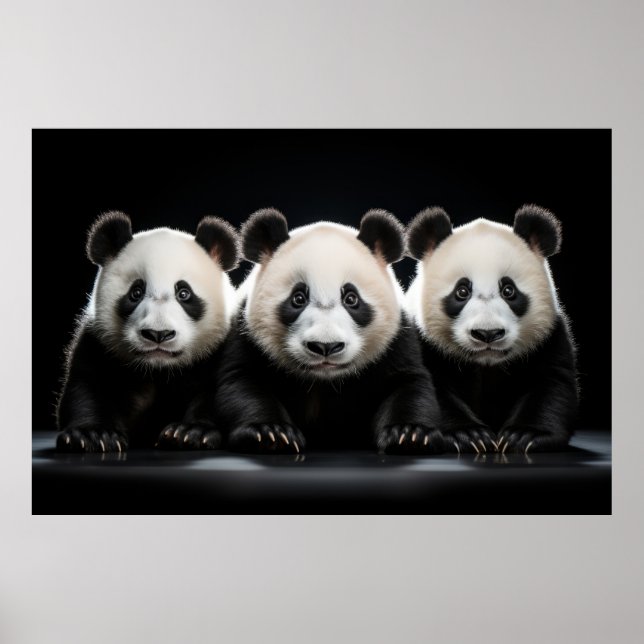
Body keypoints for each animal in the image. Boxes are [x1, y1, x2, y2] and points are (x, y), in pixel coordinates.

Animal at [56, 211, 239, 453]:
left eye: (184, 293)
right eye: (136, 292)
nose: (158, 334)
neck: (157, 370)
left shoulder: (219, 348)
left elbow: (219, 392)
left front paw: (191, 433)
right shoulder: (97, 342)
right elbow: (86, 387)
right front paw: (93, 435)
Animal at [214, 208, 441, 454]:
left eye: (351, 298)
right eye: (298, 298)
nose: (325, 346)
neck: (323, 381)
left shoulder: (396, 339)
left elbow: (408, 385)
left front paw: (410, 434)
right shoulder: (248, 336)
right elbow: (241, 384)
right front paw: (270, 433)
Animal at [405, 204, 578, 454]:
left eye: (508, 290)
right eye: (462, 291)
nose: (488, 334)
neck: (486, 364)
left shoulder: (549, 336)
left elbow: (551, 385)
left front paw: (524, 435)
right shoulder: (422, 339)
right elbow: (430, 388)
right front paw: (470, 435)